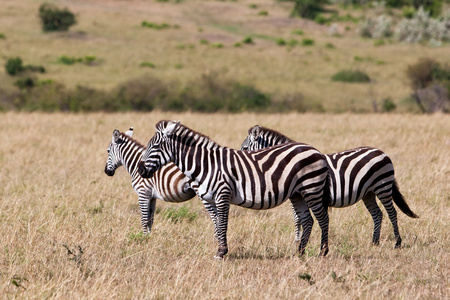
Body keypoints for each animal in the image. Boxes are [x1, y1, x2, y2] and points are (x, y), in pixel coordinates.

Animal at [137, 120, 330, 258]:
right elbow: (216, 224)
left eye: (155, 147)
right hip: (298, 194)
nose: (140, 170)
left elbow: (223, 224)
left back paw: (323, 252)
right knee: (308, 220)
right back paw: (299, 253)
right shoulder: (210, 199)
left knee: (323, 219)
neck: (207, 165)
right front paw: (219, 248)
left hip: (312, 189)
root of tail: (315, 150)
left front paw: (221, 252)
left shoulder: (223, 194)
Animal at [241, 125, 420, 250]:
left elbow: (298, 218)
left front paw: (298, 242)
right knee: (378, 214)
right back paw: (374, 242)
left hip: (383, 187)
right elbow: (299, 218)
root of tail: (382, 152)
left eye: (245, 148)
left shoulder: (302, 194)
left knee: (392, 213)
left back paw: (397, 243)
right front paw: (298, 242)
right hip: (368, 193)